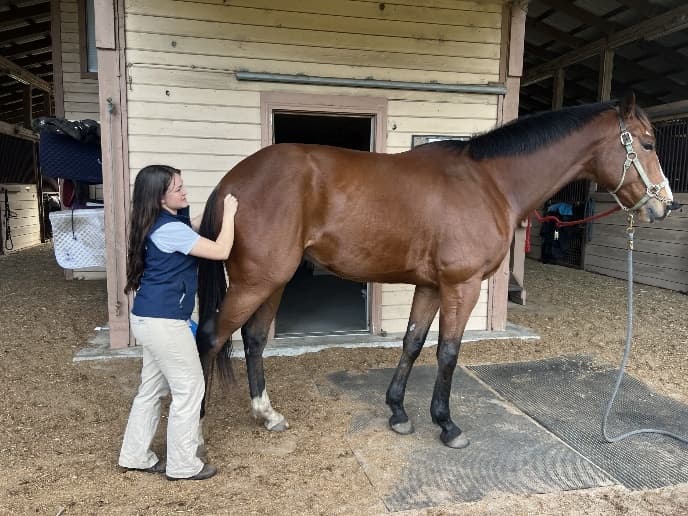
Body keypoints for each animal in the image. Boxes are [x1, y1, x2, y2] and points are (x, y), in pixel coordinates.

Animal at [195, 92, 677, 449]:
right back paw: (196, 435)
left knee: (254, 339)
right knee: (212, 337)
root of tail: (231, 181)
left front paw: (398, 412)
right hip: (255, 281)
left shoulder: (429, 286)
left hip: (273, 281)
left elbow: (412, 343)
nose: (666, 205)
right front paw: (447, 425)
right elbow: (448, 351)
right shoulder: (461, 286)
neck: (490, 183)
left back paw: (267, 414)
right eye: (648, 144)